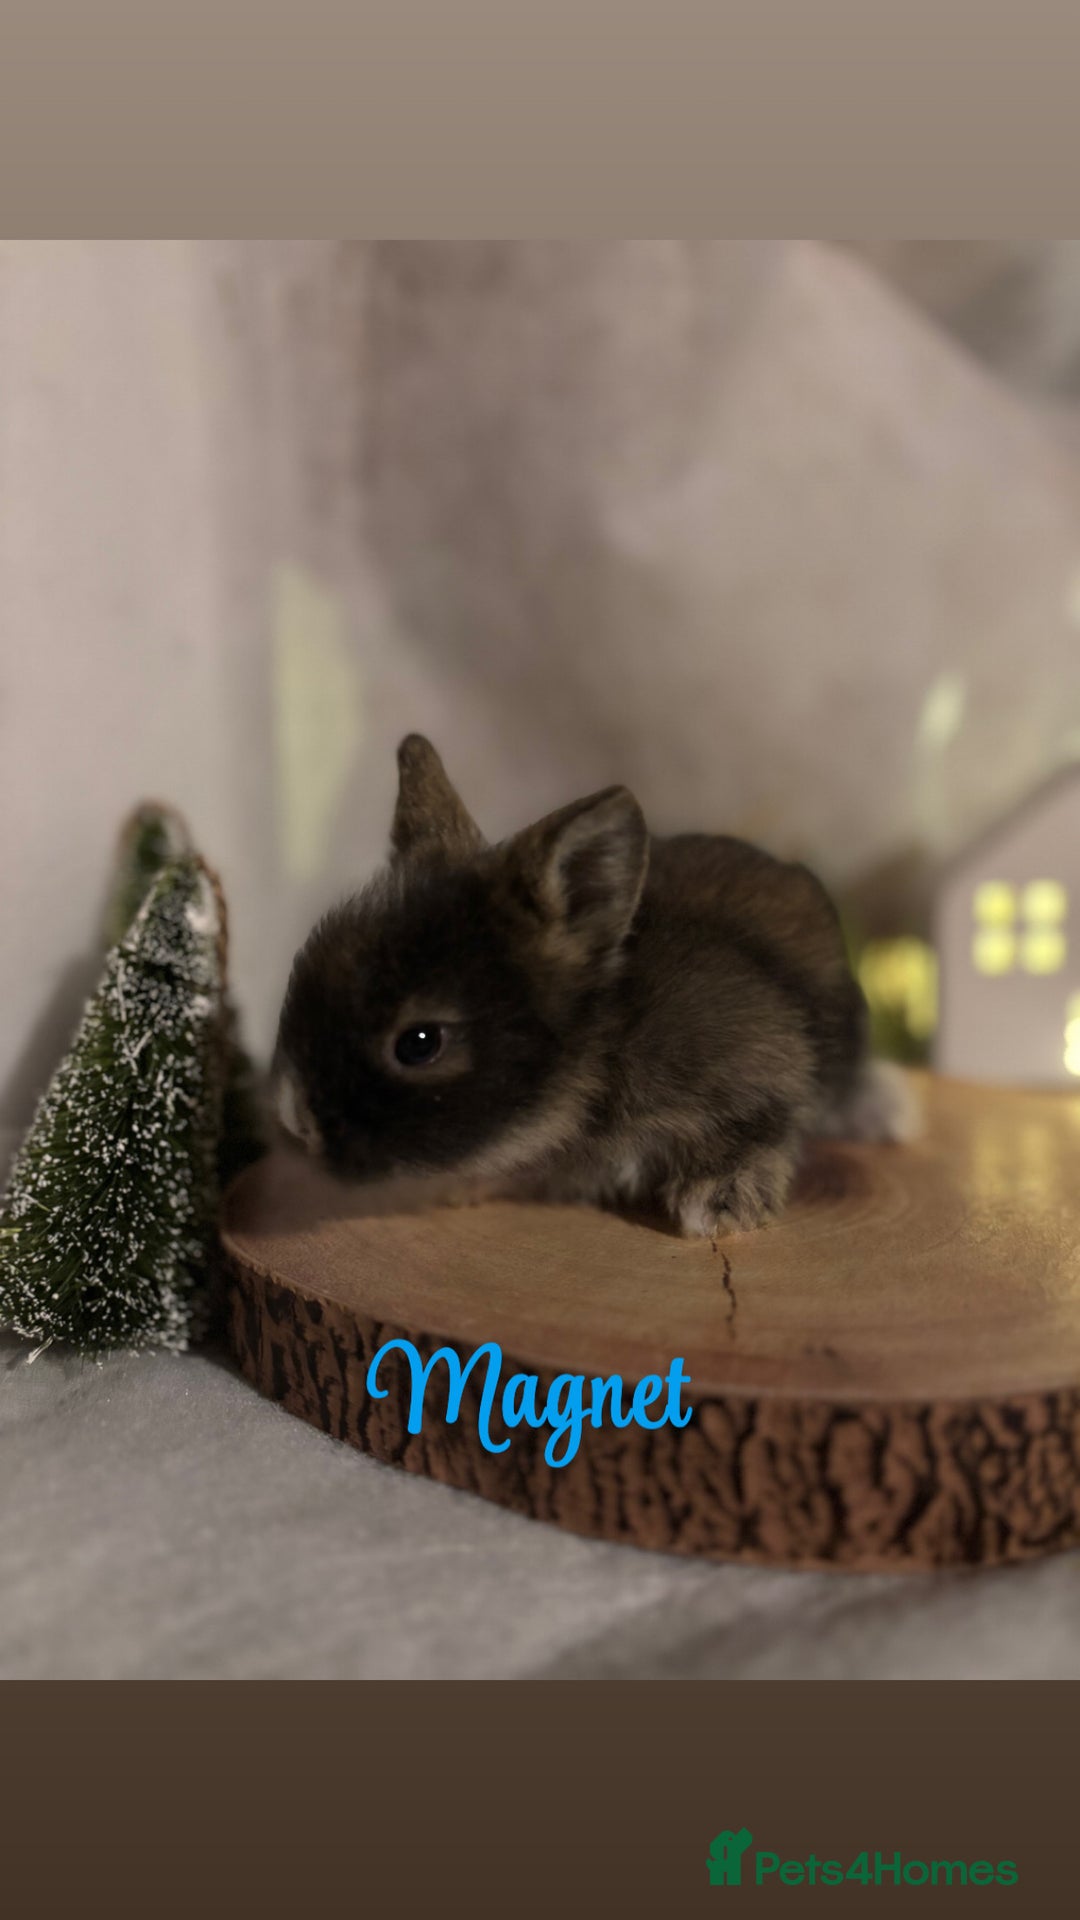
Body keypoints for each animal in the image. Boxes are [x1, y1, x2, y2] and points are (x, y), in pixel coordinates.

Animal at [272, 734, 918, 1238]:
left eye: (419, 1043)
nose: (294, 1121)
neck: (597, 1061)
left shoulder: (768, 1067)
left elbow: (761, 1129)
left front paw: (718, 1206)